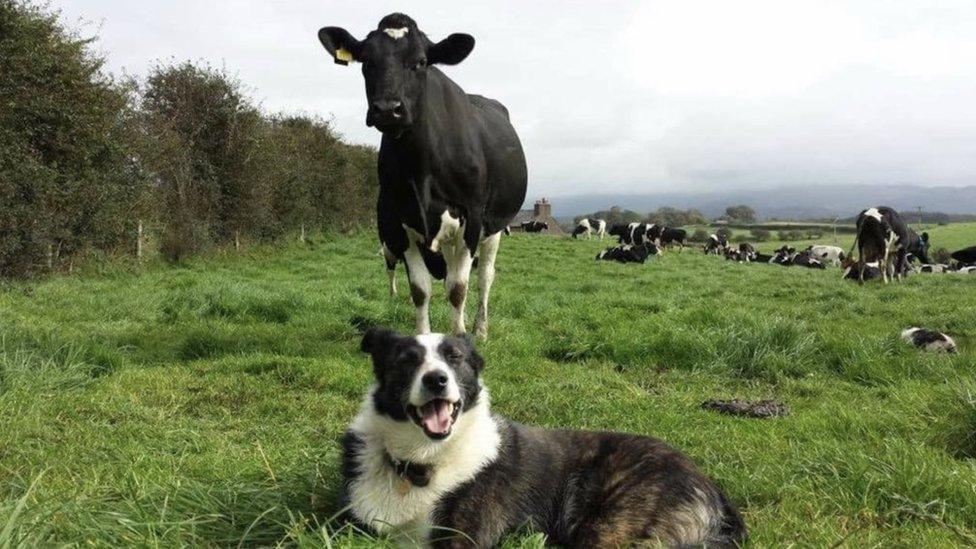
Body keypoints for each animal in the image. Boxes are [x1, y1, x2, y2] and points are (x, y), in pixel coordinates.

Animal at [320, 11, 528, 338]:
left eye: (420, 61)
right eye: (366, 61)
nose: (387, 109)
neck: (422, 170)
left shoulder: (472, 217)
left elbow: (458, 288)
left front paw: (461, 337)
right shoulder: (401, 221)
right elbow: (420, 290)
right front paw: (425, 337)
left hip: (494, 226)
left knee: (484, 278)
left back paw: (479, 329)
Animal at [344, 328, 748, 544]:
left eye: (454, 357)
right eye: (407, 359)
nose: (436, 380)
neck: (421, 462)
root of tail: (711, 486)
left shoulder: (465, 539)